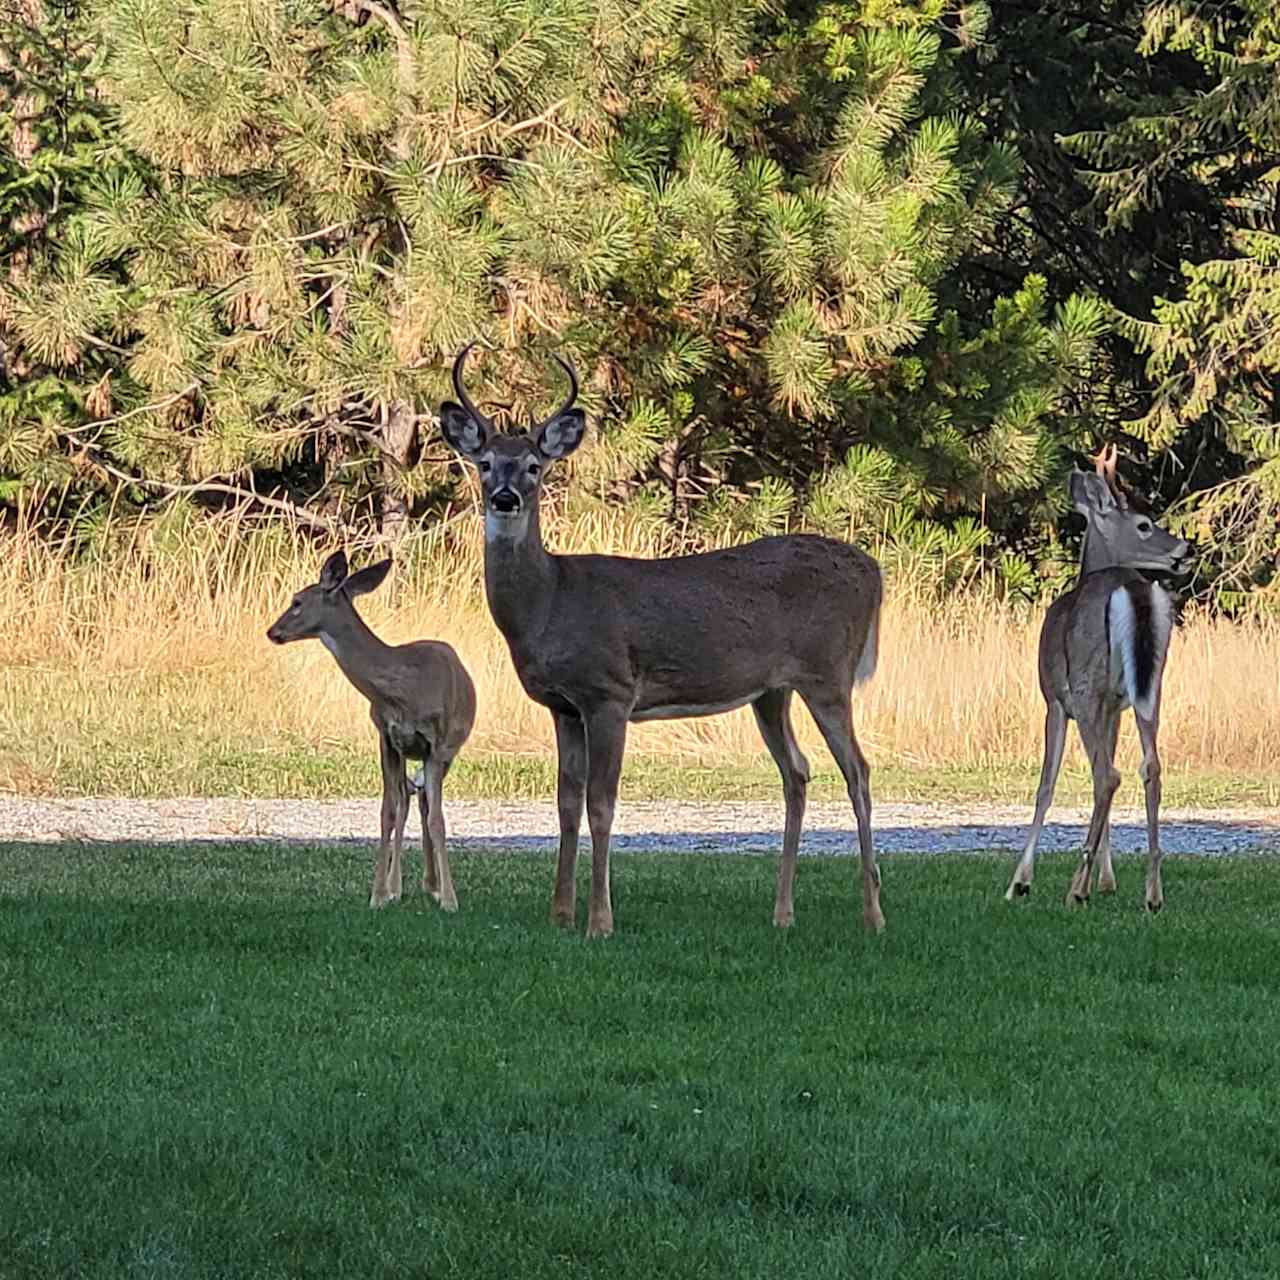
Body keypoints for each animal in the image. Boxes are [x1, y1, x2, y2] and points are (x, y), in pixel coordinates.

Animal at [267, 550, 478, 911]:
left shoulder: (436, 744)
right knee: (408, 799)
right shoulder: (387, 738)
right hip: (408, 753)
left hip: (450, 748)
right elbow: (387, 813)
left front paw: (450, 900)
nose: (272, 631)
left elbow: (438, 820)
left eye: (296, 602)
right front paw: (379, 895)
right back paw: (404, 886)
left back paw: (434, 886)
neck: (401, 687)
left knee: (425, 802)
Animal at [440, 343, 890, 942]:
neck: (550, 601)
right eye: (485, 462)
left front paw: (599, 921)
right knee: (797, 772)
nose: (507, 497)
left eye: (535, 466)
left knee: (858, 771)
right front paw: (560, 913)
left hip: (828, 674)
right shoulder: (563, 706)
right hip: (773, 691)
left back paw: (873, 913)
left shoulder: (609, 692)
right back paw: (783, 912)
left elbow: (601, 804)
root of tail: (874, 571)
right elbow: (565, 803)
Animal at [1003, 450, 1192, 911]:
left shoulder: (1055, 698)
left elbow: (1046, 785)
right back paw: (1152, 892)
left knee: (1107, 775)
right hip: (1151, 686)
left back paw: (1075, 888)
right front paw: (1107, 880)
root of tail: (1133, 590)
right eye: (1144, 525)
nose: (1186, 548)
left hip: (1086, 686)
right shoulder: (1114, 705)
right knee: (1149, 766)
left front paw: (1020, 881)